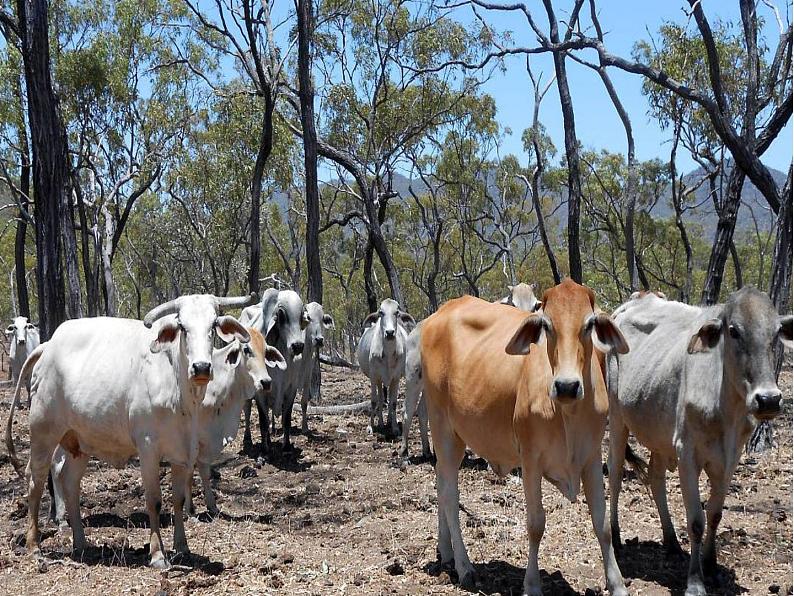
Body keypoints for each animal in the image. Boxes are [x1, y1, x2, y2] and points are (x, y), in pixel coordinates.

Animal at [3, 294, 255, 568]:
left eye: (213, 326)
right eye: (183, 327)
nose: (201, 367)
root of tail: (47, 346)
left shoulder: (182, 452)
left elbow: (178, 500)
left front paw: (182, 547)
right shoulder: (148, 449)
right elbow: (154, 501)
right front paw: (157, 554)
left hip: (78, 443)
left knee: (70, 484)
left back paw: (81, 543)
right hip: (43, 432)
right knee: (36, 481)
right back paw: (34, 546)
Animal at [354, 300, 414, 436]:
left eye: (396, 312)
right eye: (381, 312)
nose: (390, 333)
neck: (388, 354)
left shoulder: (396, 378)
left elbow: (393, 403)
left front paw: (395, 428)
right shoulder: (374, 377)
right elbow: (374, 401)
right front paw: (370, 427)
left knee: (389, 400)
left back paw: (389, 421)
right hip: (379, 380)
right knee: (381, 399)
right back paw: (381, 423)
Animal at [418, 280, 628, 596]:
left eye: (590, 324)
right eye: (546, 325)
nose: (567, 386)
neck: (567, 412)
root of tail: (439, 313)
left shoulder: (592, 458)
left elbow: (601, 524)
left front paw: (617, 584)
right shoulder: (530, 462)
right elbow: (535, 524)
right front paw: (532, 585)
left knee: (440, 483)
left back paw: (446, 552)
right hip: (443, 428)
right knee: (449, 494)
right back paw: (465, 567)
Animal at [608, 286, 784, 592]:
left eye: (776, 333)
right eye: (734, 331)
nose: (769, 400)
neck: (727, 410)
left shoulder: (730, 460)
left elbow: (714, 514)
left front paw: (711, 565)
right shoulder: (687, 454)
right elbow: (696, 521)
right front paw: (695, 581)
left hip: (659, 434)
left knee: (655, 477)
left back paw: (671, 543)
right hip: (618, 421)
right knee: (616, 476)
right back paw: (617, 537)